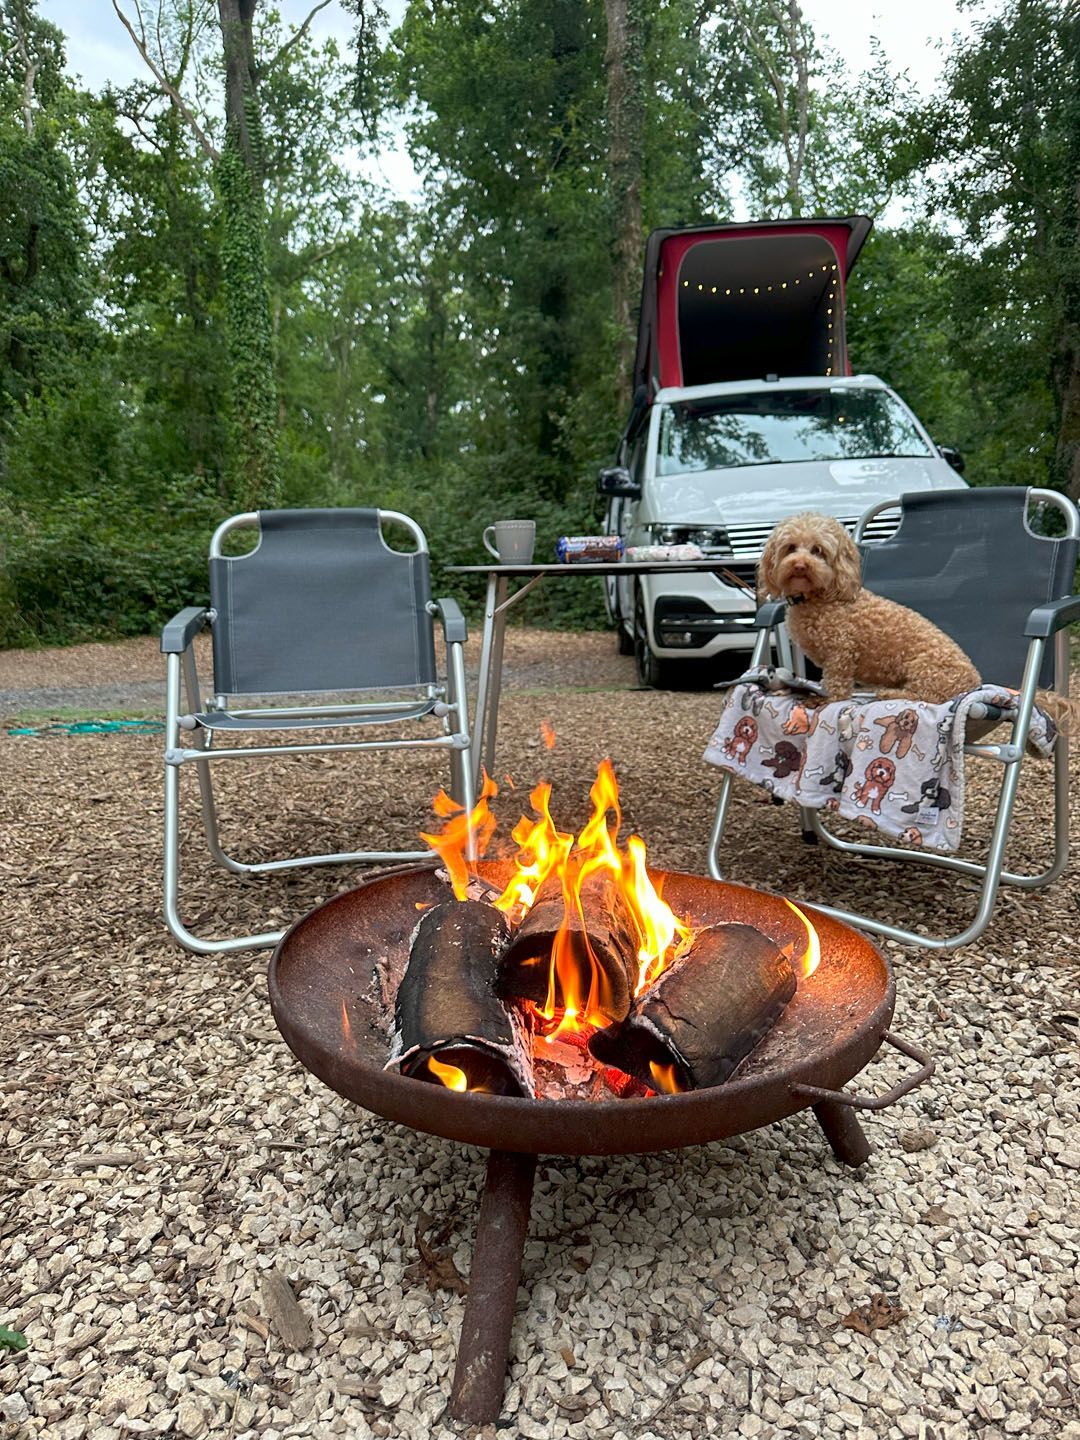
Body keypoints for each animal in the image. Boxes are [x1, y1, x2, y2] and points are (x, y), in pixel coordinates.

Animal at [760, 515, 979, 705]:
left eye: (818, 550)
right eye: (790, 548)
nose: (799, 566)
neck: (819, 597)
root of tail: (975, 681)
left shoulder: (840, 649)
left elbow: (835, 680)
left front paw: (827, 698)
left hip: (926, 670)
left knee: (927, 696)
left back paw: (889, 693)